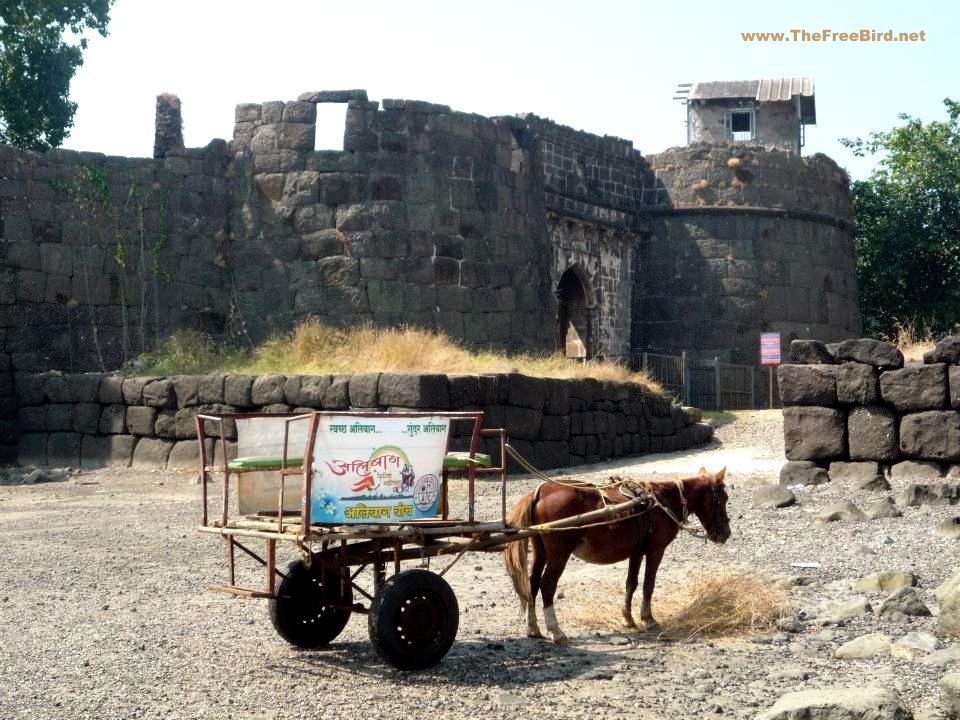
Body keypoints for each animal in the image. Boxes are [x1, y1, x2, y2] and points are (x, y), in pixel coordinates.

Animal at [502, 470, 728, 644]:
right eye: (723, 499)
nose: (726, 534)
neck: (663, 501)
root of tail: (539, 493)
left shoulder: (637, 552)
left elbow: (631, 583)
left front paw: (627, 618)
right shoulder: (656, 550)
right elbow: (648, 584)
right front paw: (648, 619)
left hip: (541, 552)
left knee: (531, 583)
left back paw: (533, 628)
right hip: (559, 554)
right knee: (547, 585)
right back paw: (556, 631)